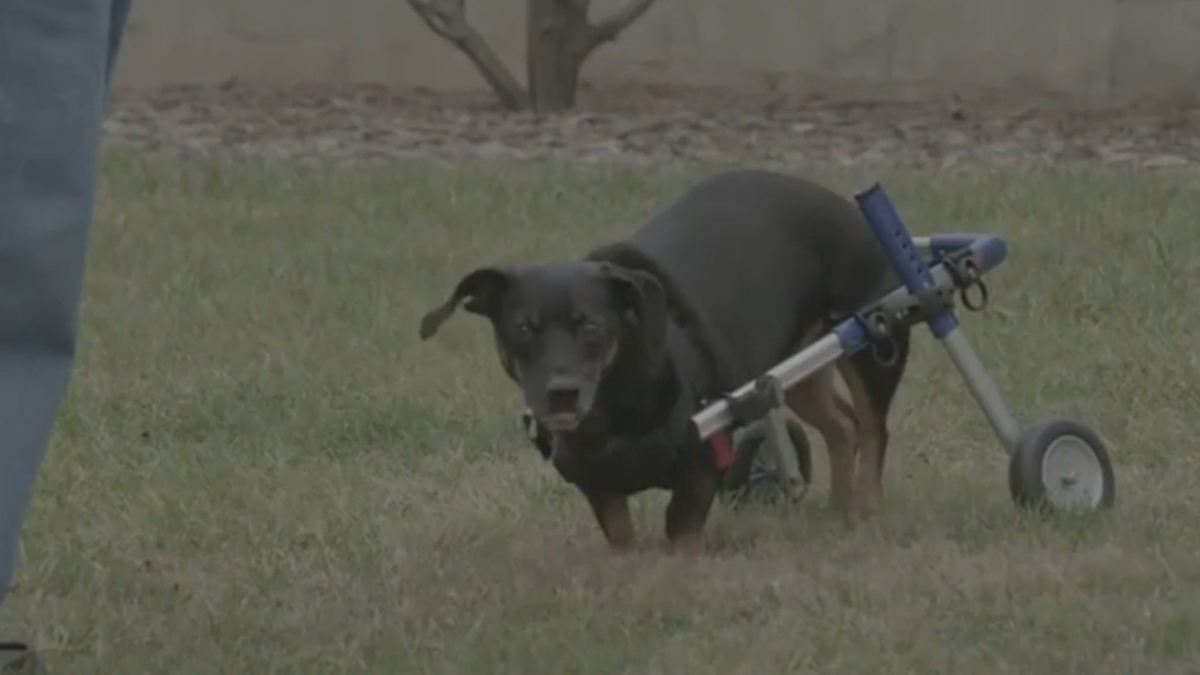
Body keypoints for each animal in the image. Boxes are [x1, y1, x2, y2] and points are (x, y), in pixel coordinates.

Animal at [420, 168, 907, 552]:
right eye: (523, 328)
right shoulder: (598, 487)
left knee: (873, 428)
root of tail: (844, 205)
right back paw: (839, 506)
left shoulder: (703, 467)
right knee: (842, 426)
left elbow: (681, 533)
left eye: (590, 325)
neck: (616, 409)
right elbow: (620, 535)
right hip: (795, 368)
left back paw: (865, 507)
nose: (561, 394)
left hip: (872, 342)